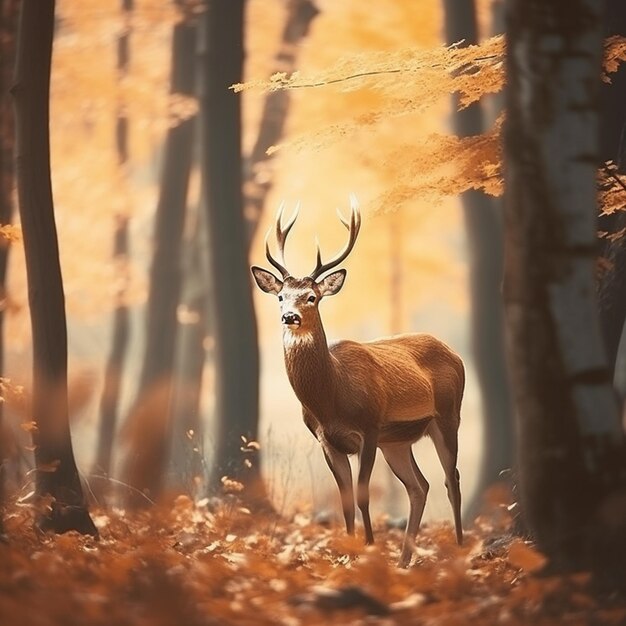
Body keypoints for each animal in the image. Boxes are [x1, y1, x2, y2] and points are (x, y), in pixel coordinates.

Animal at [250, 196, 464, 564]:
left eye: (312, 297)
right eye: (280, 296)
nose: (289, 316)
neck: (332, 398)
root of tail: (455, 353)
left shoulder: (369, 427)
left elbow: (363, 496)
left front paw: (368, 551)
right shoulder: (326, 440)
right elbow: (346, 500)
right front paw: (348, 557)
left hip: (448, 416)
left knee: (452, 481)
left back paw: (463, 551)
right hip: (398, 441)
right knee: (420, 486)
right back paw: (404, 561)